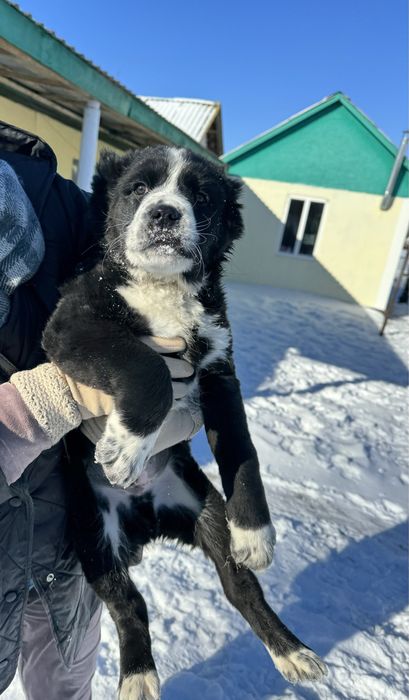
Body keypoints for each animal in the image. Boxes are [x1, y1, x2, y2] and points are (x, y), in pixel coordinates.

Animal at [43, 146, 327, 699]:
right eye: (137, 189)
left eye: (200, 197)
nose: (164, 214)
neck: (163, 288)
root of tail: (145, 522)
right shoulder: (71, 325)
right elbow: (146, 364)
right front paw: (125, 447)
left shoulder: (219, 368)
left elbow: (242, 450)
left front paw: (256, 531)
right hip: (92, 534)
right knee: (128, 605)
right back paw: (138, 677)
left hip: (205, 510)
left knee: (240, 586)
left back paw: (292, 651)